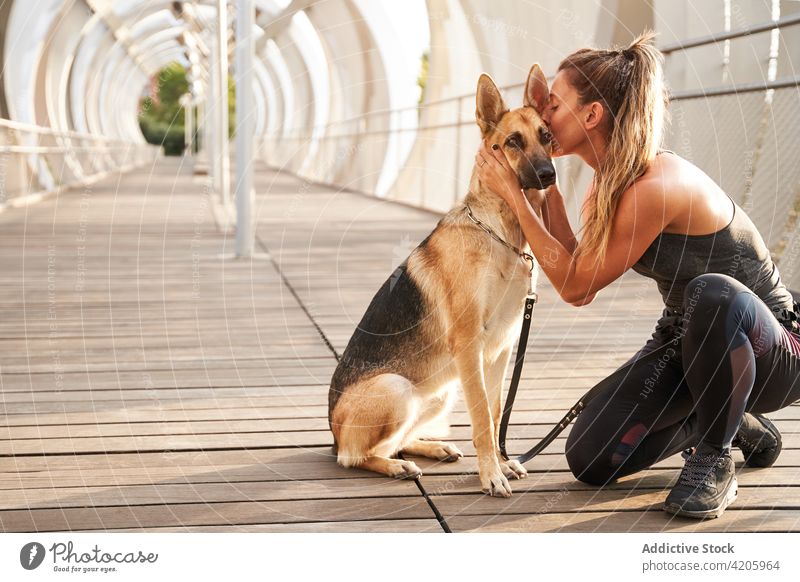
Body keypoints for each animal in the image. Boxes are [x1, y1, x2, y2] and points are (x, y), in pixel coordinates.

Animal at [328, 67, 552, 498]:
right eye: (513, 142)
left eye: (546, 136)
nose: (548, 174)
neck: (500, 233)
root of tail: (333, 433)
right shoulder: (470, 345)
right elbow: (482, 419)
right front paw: (491, 474)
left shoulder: (501, 349)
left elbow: (495, 412)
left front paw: (501, 463)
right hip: (397, 389)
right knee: (355, 457)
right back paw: (394, 466)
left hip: (438, 393)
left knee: (394, 442)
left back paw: (431, 447)